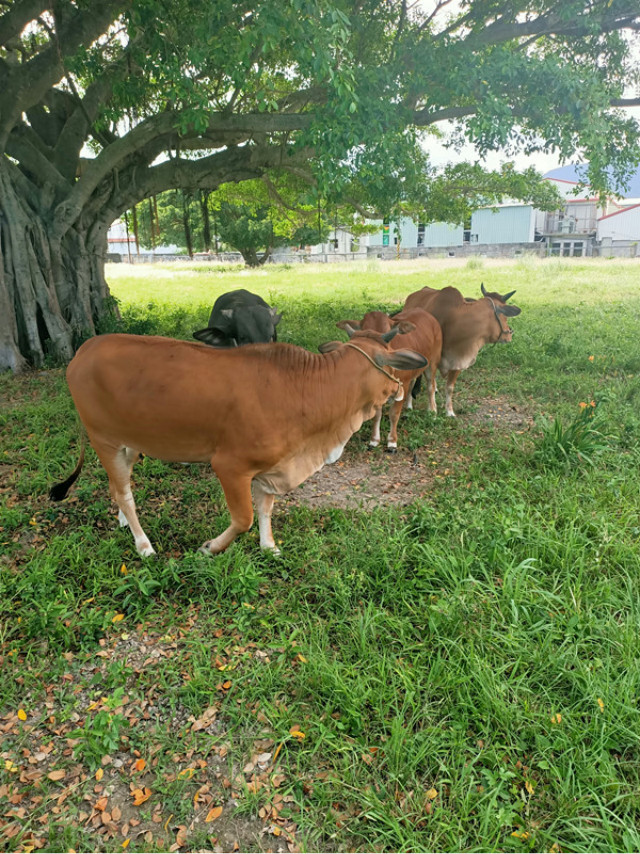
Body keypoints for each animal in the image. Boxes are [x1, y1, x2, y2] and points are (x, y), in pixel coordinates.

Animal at [51, 332, 424, 560]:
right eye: (391, 365)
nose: (400, 390)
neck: (307, 388)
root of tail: (84, 349)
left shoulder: (272, 467)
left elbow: (265, 509)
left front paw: (268, 546)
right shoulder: (230, 467)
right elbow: (243, 517)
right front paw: (210, 547)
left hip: (129, 442)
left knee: (118, 485)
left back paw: (124, 522)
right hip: (104, 439)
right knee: (123, 492)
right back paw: (143, 543)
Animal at [338, 310, 442, 454]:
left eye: (387, 332)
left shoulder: (403, 384)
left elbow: (394, 414)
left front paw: (392, 442)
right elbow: (377, 415)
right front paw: (374, 440)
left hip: (433, 363)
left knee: (431, 387)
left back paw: (432, 412)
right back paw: (409, 407)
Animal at [404, 284, 520, 418]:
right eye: (505, 316)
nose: (509, 335)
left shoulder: (458, 361)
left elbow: (449, 387)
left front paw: (449, 412)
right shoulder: (430, 360)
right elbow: (429, 385)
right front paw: (428, 410)